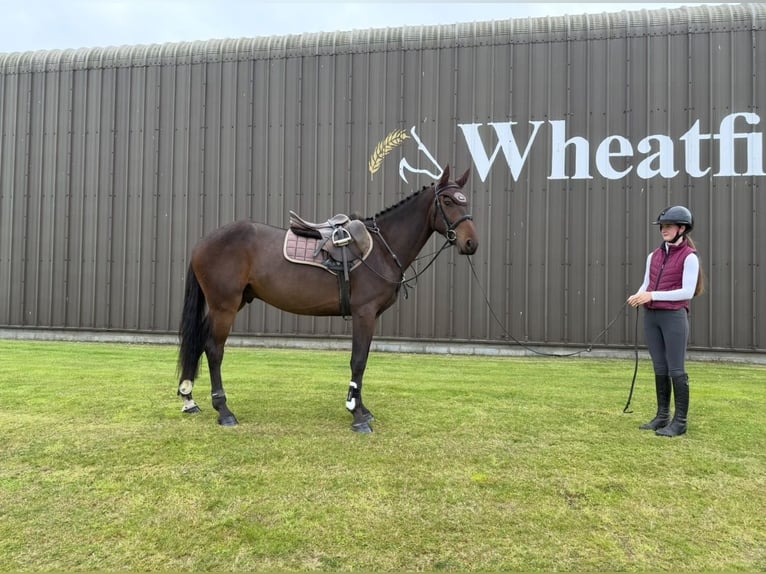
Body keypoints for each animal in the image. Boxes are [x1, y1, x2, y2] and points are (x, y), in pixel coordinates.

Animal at [176, 165, 478, 433]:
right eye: (448, 200)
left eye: (465, 200)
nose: (471, 243)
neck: (381, 249)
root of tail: (202, 242)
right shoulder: (364, 313)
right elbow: (358, 361)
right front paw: (357, 415)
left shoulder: (370, 316)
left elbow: (362, 362)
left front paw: (362, 409)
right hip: (224, 306)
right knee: (214, 350)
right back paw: (224, 411)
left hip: (232, 303)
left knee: (199, 341)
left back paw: (189, 399)